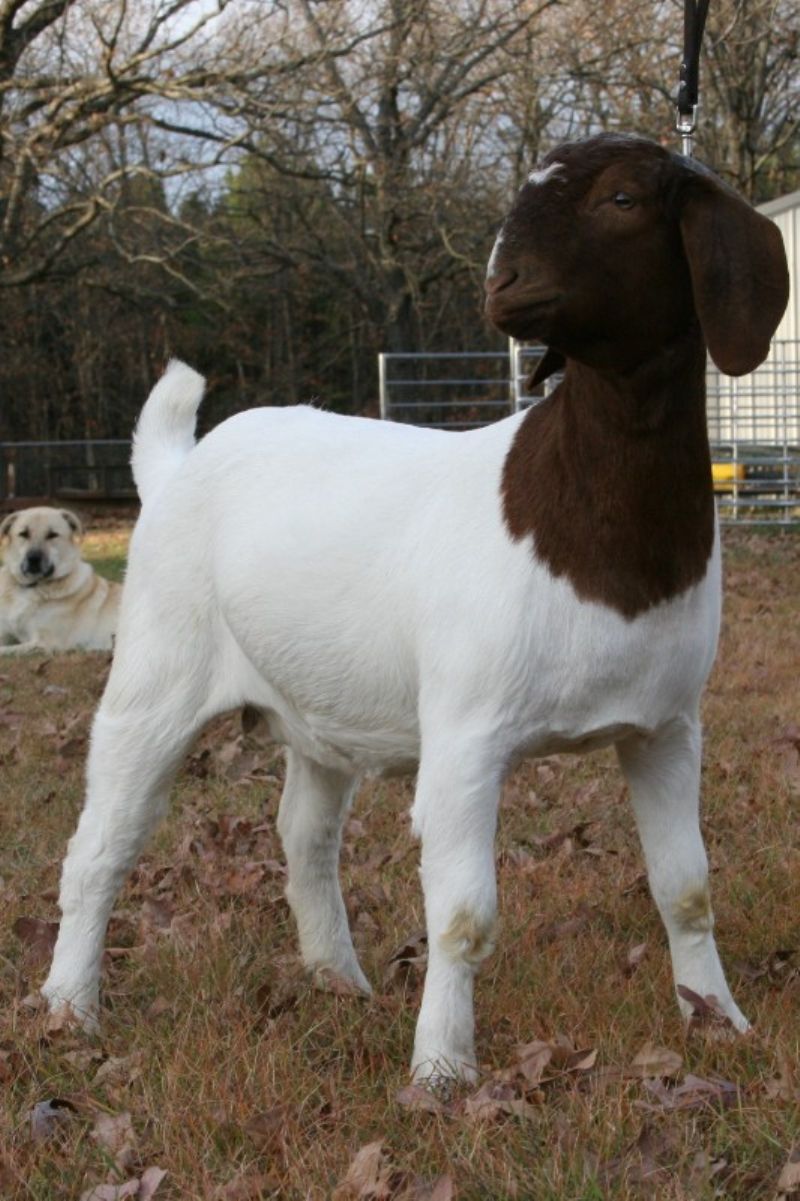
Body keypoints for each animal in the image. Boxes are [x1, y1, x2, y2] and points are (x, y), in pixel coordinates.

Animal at [43, 133, 789, 1083]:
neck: (584, 520)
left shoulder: (667, 726)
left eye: (623, 199)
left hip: (316, 704)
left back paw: (339, 981)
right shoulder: (467, 734)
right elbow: (464, 914)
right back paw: (69, 1009)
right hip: (156, 671)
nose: (503, 280)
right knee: (101, 845)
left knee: (304, 836)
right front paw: (441, 1070)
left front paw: (718, 1020)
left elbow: (686, 887)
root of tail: (177, 467)